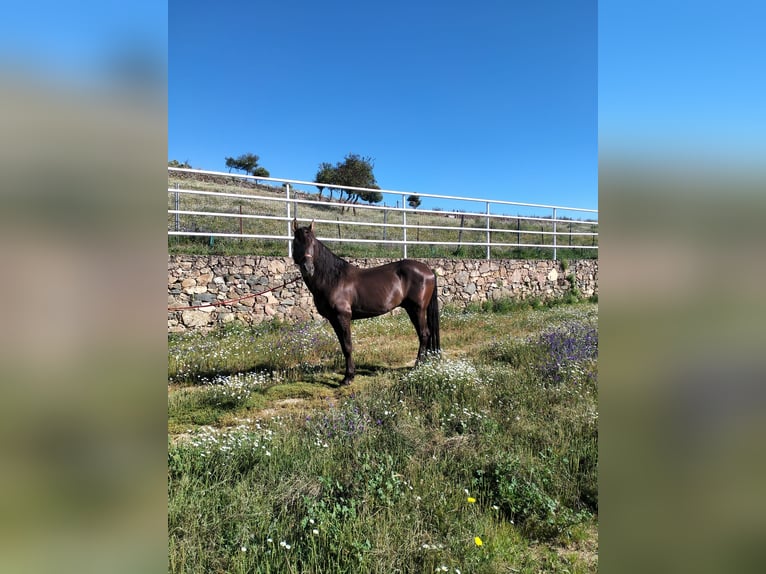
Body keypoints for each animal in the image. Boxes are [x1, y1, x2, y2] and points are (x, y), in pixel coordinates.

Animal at [292, 220, 440, 388]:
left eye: (313, 243)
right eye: (296, 242)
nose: (307, 268)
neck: (334, 279)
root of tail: (428, 270)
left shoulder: (343, 317)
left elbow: (347, 346)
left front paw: (348, 377)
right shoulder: (334, 320)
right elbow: (343, 345)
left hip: (417, 309)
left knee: (424, 334)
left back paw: (417, 366)